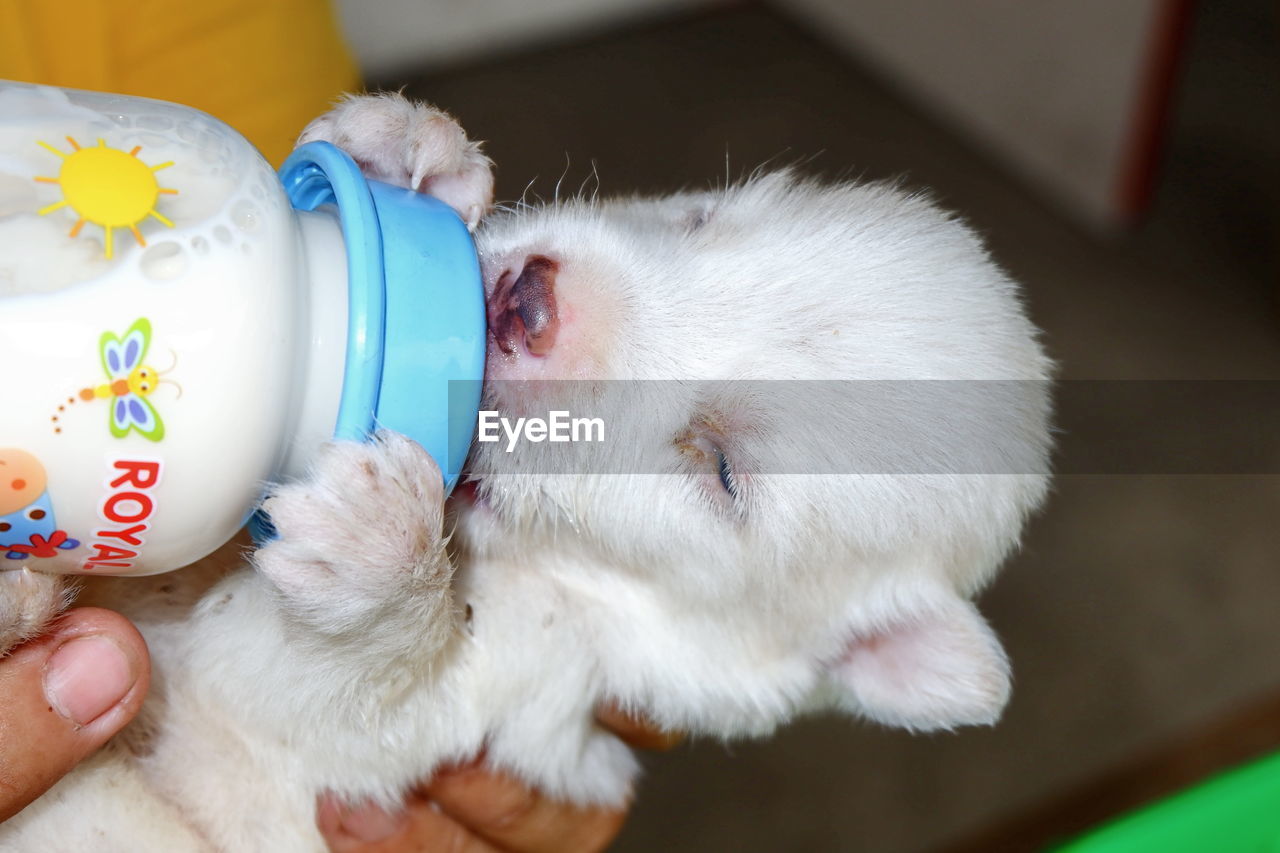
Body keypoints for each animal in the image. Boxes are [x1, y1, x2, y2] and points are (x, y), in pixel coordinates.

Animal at [2, 94, 1049, 850]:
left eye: (724, 470)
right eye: (700, 215)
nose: (526, 302)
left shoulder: (504, 699)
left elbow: (331, 693)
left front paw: (380, 556)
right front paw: (403, 148)